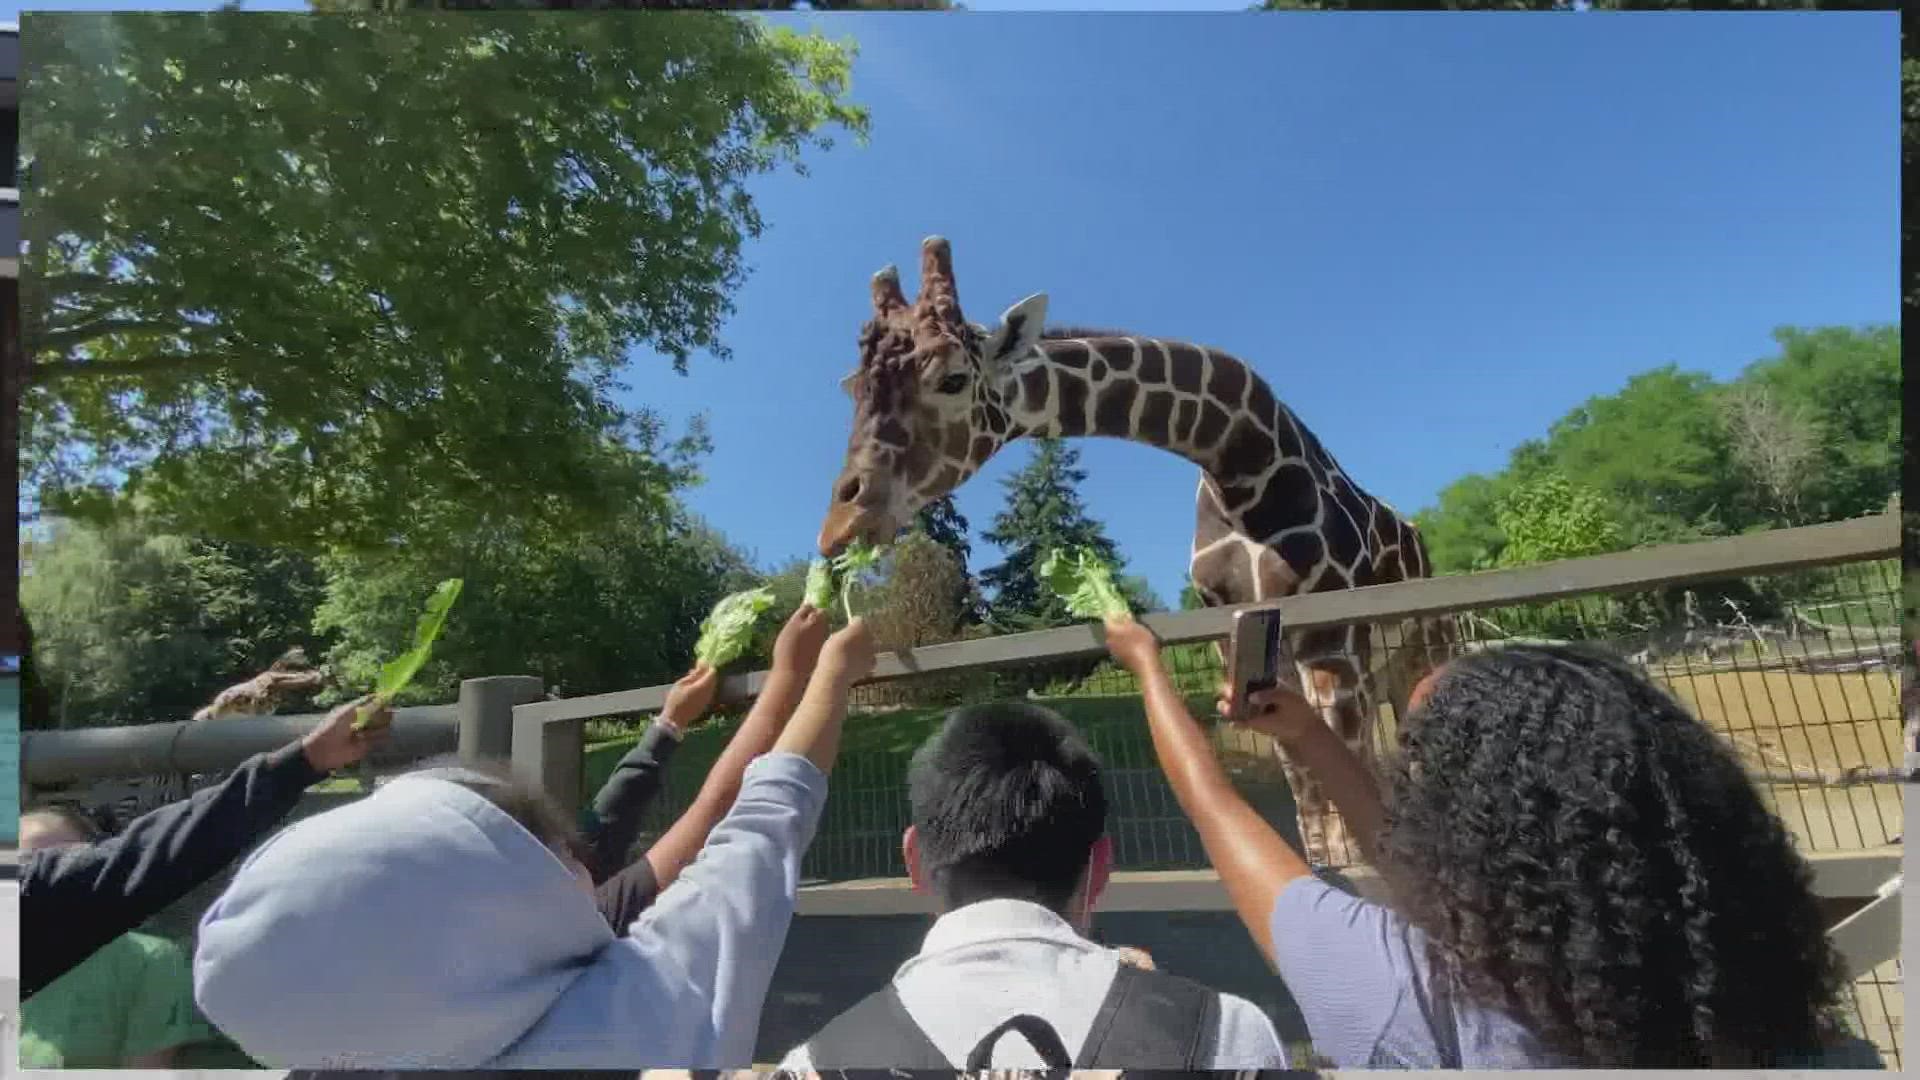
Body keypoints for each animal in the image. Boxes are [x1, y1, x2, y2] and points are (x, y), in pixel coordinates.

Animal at [814, 237, 1451, 864]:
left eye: (950, 380)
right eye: (859, 393)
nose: (839, 524)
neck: (1242, 463)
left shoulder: (1331, 638)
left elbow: (1347, 824)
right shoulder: (1237, 639)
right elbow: (1312, 811)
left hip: (1422, 647)